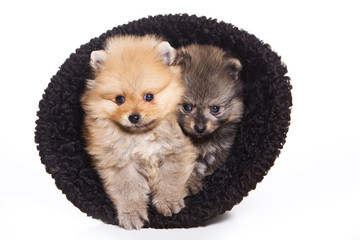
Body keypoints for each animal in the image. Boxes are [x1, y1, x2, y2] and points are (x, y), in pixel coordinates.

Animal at [81, 35, 197, 229]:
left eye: (149, 96)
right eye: (119, 99)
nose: (134, 117)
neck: (141, 136)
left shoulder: (176, 151)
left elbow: (170, 178)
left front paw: (168, 201)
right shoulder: (121, 164)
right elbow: (129, 190)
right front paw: (131, 213)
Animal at [175, 44, 245, 195]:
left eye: (215, 109)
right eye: (187, 107)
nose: (200, 128)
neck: (201, 141)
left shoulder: (220, 149)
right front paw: (191, 183)